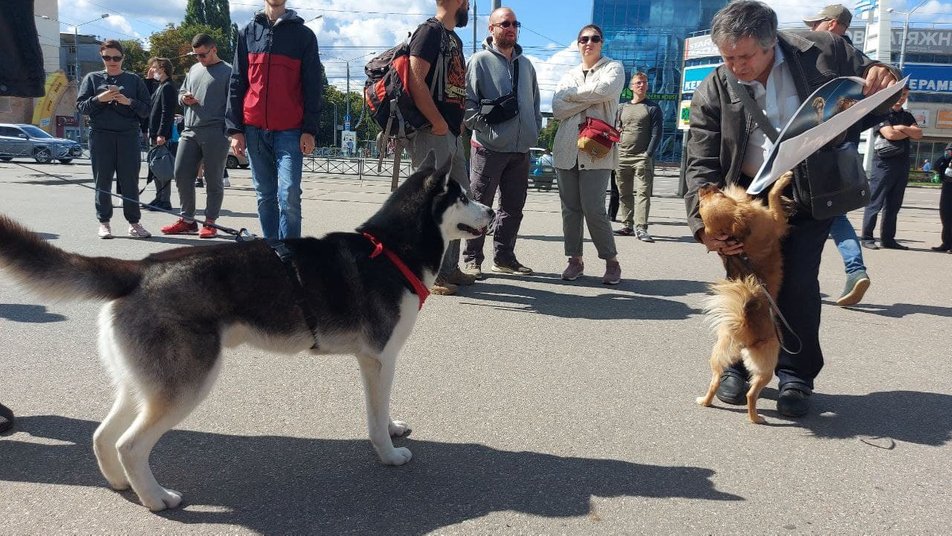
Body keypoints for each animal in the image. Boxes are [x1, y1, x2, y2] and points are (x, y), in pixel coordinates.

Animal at [0, 154, 494, 510]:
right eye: (465, 196)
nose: (491, 210)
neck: (390, 250)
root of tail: (140, 269)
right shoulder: (380, 358)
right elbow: (374, 420)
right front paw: (388, 454)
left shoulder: (374, 362)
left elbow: (382, 409)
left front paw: (392, 429)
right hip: (187, 385)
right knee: (130, 443)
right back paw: (157, 499)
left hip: (143, 383)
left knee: (103, 437)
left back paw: (124, 486)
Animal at [696, 172, 792, 422]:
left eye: (701, 204)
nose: (704, 185)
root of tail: (746, 325)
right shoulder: (776, 220)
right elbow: (772, 196)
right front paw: (782, 180)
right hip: (766, 366)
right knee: (751, 394)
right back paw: (756, 418)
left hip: (720, 353)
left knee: (715, 382)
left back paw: (705, 401)